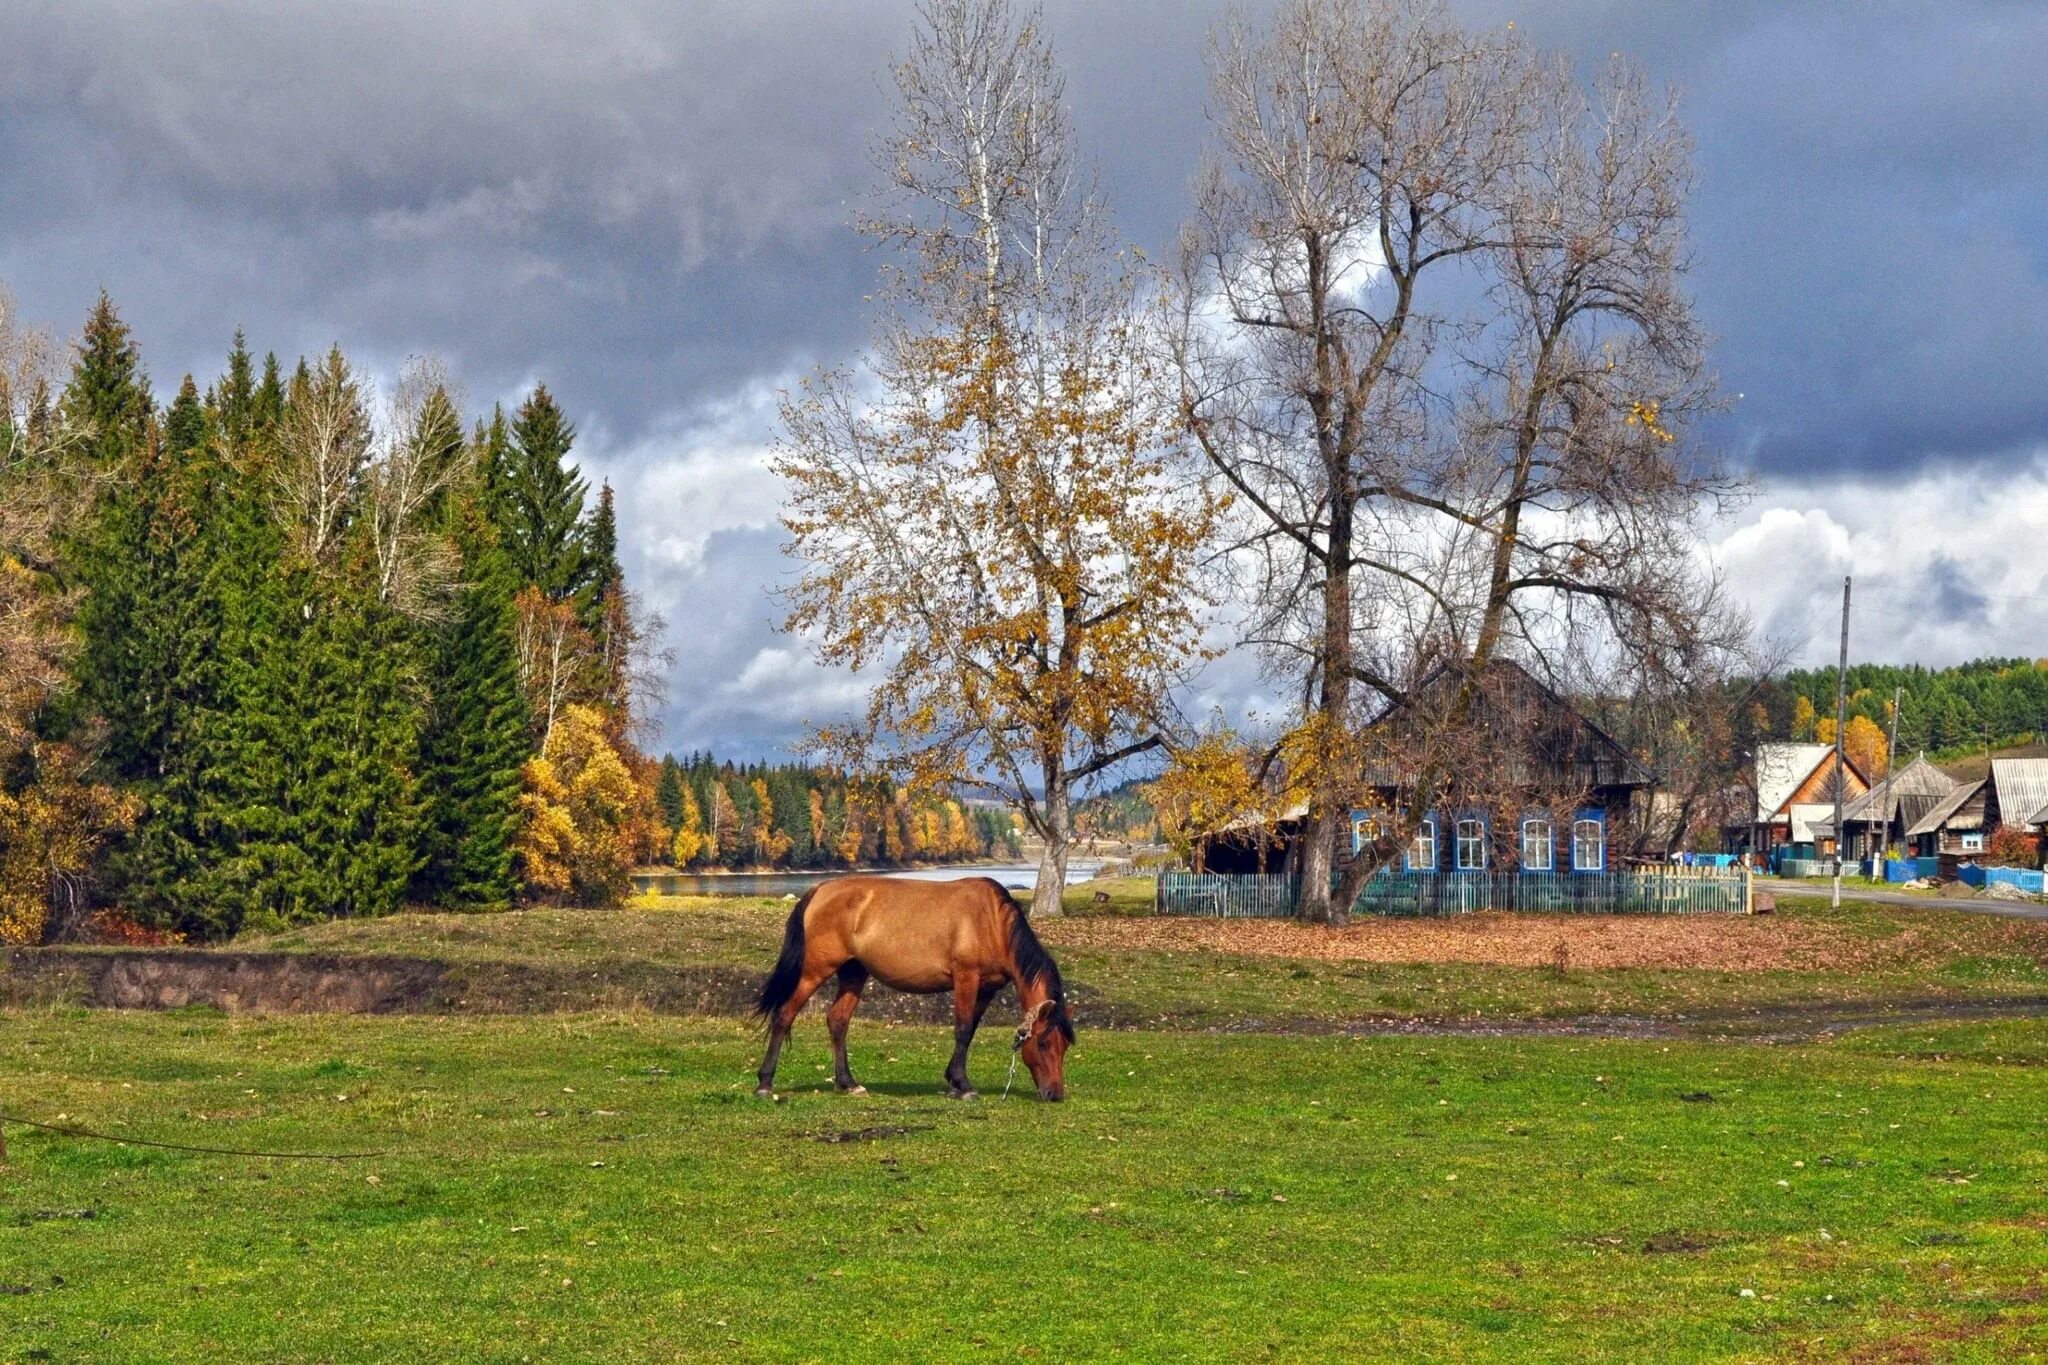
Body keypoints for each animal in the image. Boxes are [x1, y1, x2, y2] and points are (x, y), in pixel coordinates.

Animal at [749, 879, 1073, 1105]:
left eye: (1065, 1046)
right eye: (1043, 1043)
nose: (1055, 1094)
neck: (991, 921)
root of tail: (820, 890)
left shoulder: (986, 989)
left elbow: (969, 1032)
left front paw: (953, 1082)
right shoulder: (966, 978)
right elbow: (962, 1029)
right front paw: (963, 1086)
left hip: (854, 973)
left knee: (837, 1021)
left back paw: (848, 1083)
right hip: (814, 971)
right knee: (784, 1015)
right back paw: (765, 1084)